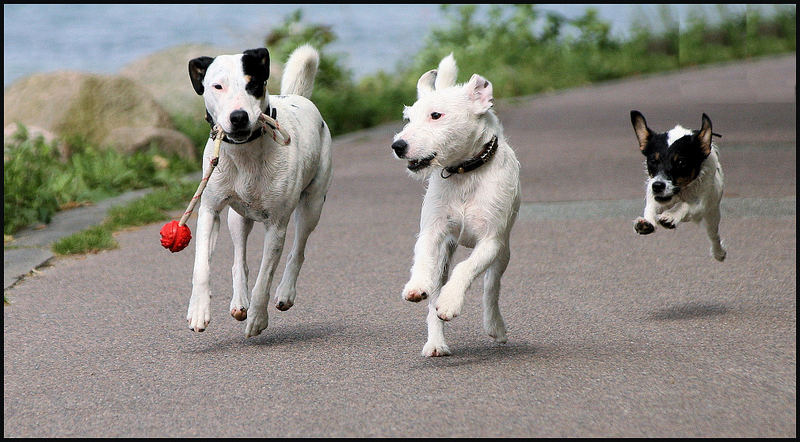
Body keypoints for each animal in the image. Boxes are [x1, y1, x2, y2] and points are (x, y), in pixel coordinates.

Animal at [185, 44, 332, 334]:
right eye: (217, 86)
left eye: (253, 84)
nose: (238, 117)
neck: (245, 154)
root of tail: (299, 97)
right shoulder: (209, 210)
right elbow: (201, 265)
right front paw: (198, 309)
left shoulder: (277, 225)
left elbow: (265, 277)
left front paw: (257, 318)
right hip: (237, 217)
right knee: (239, 260)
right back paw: (239, 301)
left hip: (312, 206)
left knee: (298, 250)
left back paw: (285, 292)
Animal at [390, 54, 520, 356]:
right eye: (408, 119)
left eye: (436, 115)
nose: (398, 145)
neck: (465, 173)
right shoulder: (433, 231)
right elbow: (423, 257)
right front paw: (416, 285)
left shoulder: (491, 241)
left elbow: (467, 269)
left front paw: (450, 303)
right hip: (445, 255)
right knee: (435, 291)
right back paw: (436, 342)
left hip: (503, 252)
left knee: (491, 287)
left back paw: (494, 326)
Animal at [632, 110, 724, 260]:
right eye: (653, 161)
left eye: (681, 162)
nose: (658, 186)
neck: (680, 193)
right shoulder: (653, 194)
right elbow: (651, 207)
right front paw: (647, 222)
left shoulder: (701, 204)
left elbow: (686, 204)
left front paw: (671, 215)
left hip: (712, 213)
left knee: (713, 234)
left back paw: (719, 253)